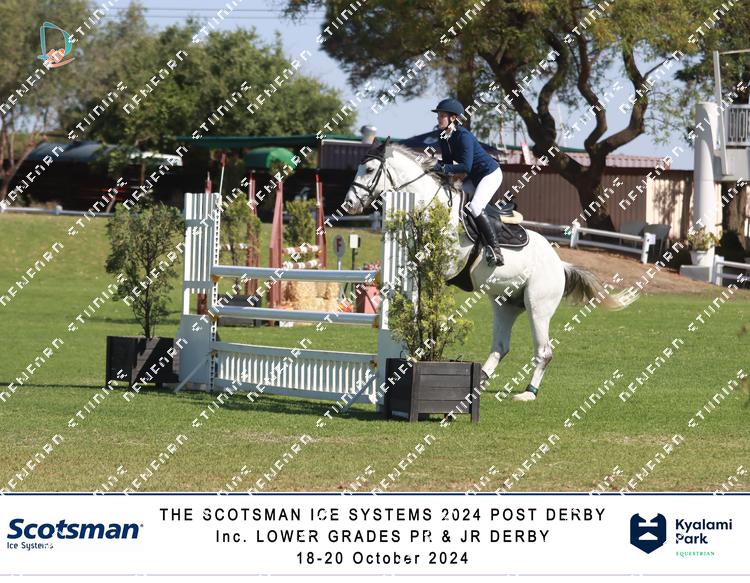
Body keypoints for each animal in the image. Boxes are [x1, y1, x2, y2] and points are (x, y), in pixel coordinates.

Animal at [344, 138, 636, 401]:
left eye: (369, 169)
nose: (349, 205)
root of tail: (559, 263)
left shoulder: (444, 267)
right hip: (504, 304)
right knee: (501, 346)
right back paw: (479, 381)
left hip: (538, 305)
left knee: (544, 351)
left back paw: (528, 393)